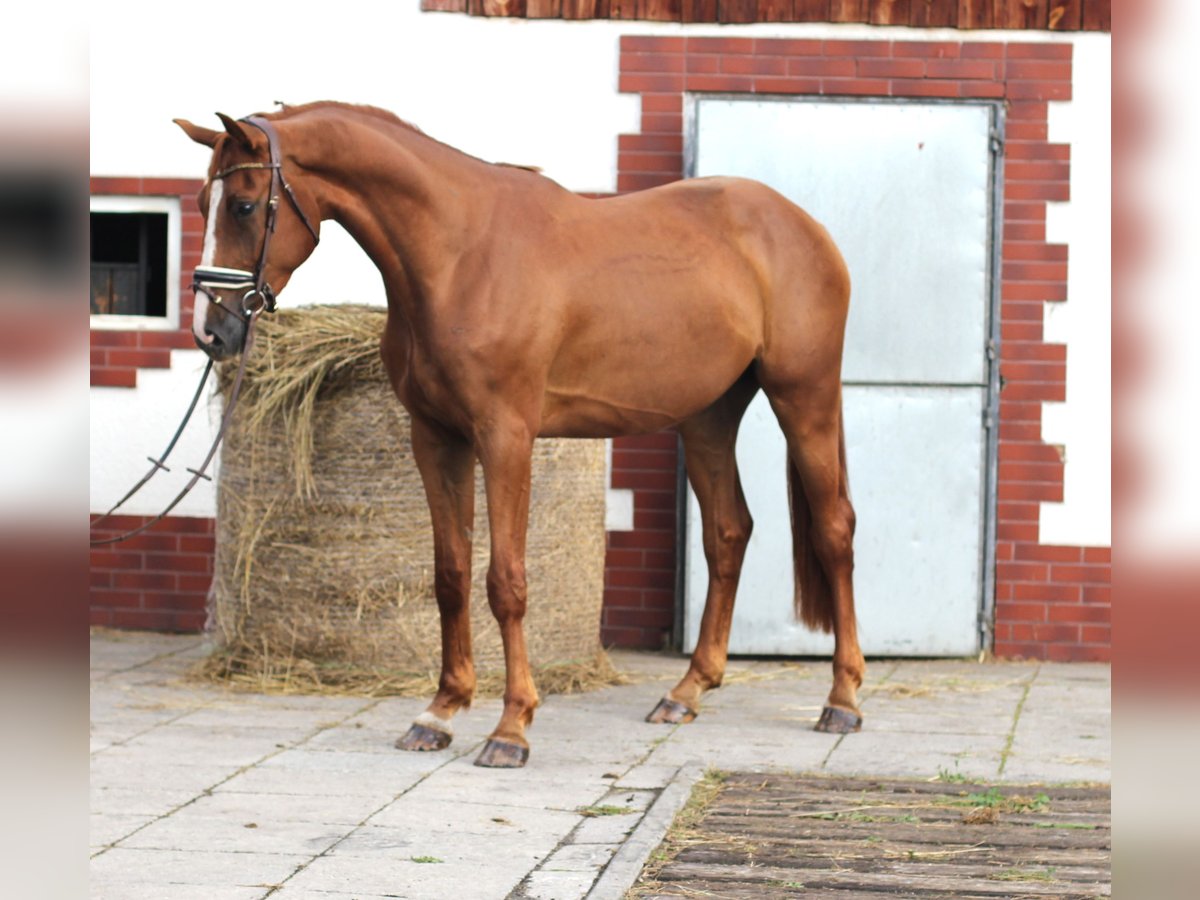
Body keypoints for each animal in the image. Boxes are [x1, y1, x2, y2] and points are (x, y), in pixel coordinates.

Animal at [174, 103, 859, 768]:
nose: (212, 331)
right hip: (709, 416)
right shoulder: (435, 438)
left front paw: (511, 727)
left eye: (242, 204)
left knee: (834, 530)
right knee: (727, 533)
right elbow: (450, 573)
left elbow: (505, 581)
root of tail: (804, 227)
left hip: (805, 398)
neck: (458, 255)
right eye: (202, 202)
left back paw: (843, 700)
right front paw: (439, 713)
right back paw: (686, 692)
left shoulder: (505, 437)